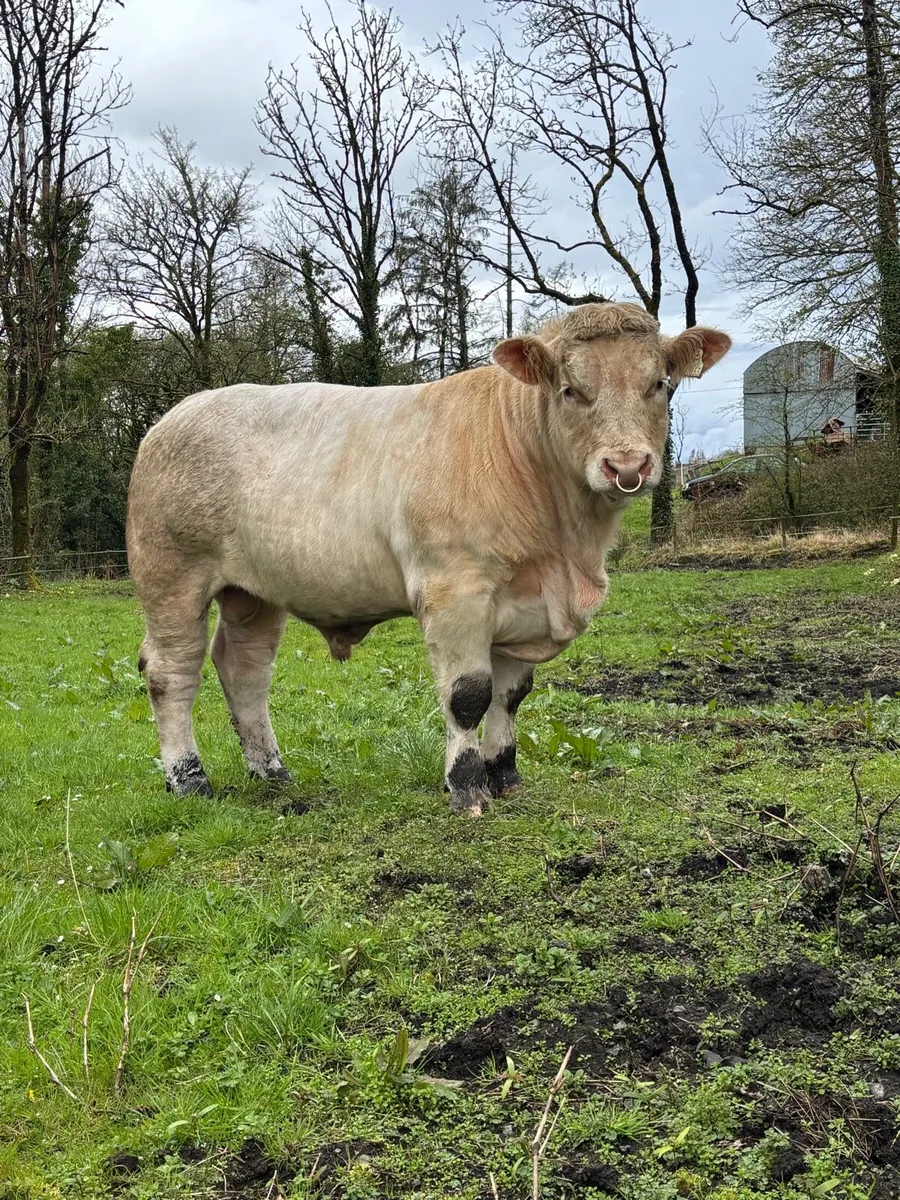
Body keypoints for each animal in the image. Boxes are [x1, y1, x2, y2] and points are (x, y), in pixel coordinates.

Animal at [126, 302, 730, 815]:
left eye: (660, 384)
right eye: (569, 390)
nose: (627, 466)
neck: (565, 552)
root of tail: (174, 415)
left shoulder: (524, 603)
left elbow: (510, 697)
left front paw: (504, 776)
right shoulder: (455, 590)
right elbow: (469, 696)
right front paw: (466, 788)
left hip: (254, 592)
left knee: (244, 669)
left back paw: (272, 772)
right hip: (171, 574)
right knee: (171, 671)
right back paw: (188, 779)